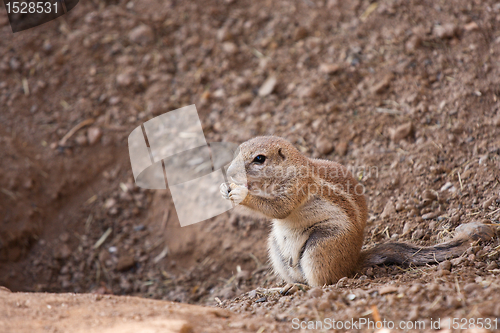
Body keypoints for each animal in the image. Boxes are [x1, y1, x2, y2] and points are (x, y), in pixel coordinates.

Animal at [220, 136, 496, 286]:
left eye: (259, 159)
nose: (230, 172)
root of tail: (353, 262)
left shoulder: (298, 187)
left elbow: (279, 208)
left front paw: (241, 194)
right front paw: (225, 189)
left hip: (321, 245)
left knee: (322, 282)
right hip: (275, 248)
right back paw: (282, 288)